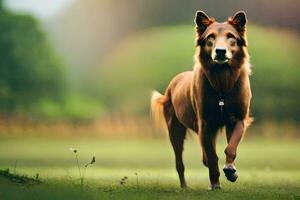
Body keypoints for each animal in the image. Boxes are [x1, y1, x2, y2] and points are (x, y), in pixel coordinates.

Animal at [151, 10, 252, 189]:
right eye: (210, 37)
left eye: (231, 36)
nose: (220, 51)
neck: (222, 82)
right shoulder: (204, 123)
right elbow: (211, 157)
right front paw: (215, 184)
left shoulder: (238, 119)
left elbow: (231, 147)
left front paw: (231, 170)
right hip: (175, 129)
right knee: (180, 162)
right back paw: (184, 187)